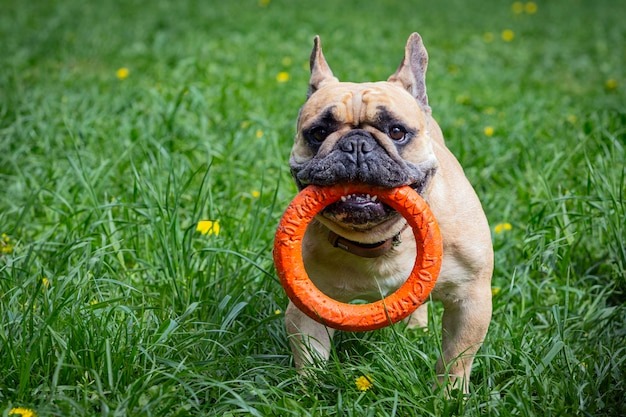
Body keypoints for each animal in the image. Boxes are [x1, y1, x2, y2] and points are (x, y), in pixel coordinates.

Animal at [282, 33, 492, 394]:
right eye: (318, 133)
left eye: (396, 132)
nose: (355, 145)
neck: (379, 241)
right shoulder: (306, 307)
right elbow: (310, 357)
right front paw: (311, 392)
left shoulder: (471, 299)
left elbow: (457, 357)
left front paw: (449, 396)